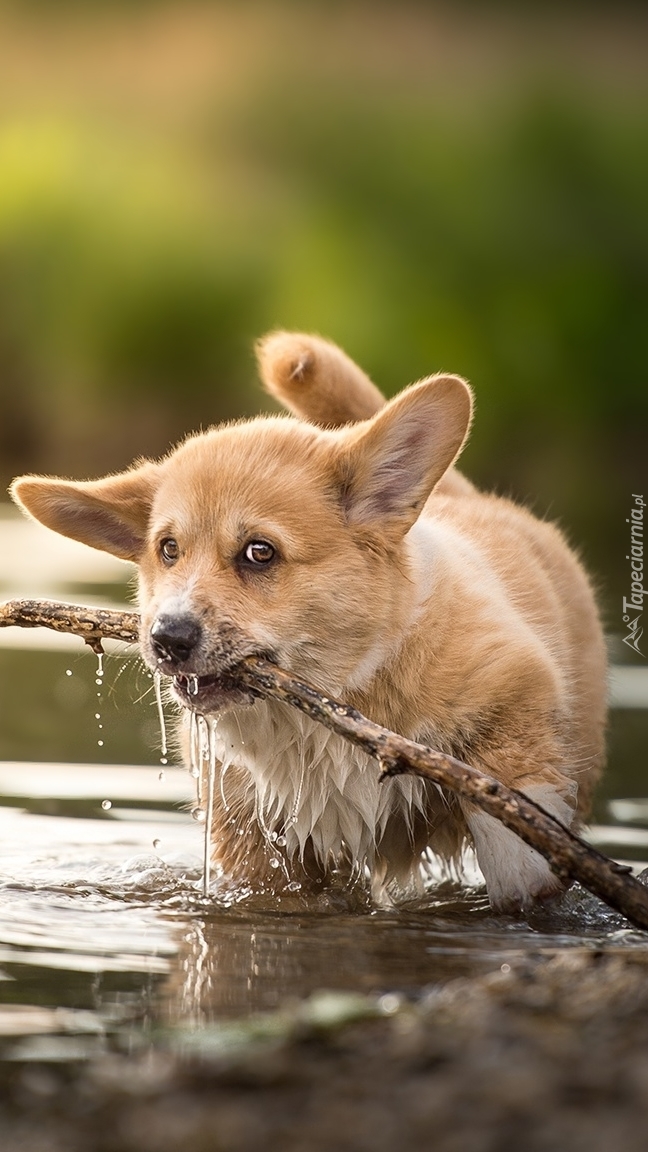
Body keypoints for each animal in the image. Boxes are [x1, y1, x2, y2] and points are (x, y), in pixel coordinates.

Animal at [10, 331, 604, 907]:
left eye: (260, 553)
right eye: (168, 549)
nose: (166, 639)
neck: (334, 702)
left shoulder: (517, 692)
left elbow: (512, 827)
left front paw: (526, 874)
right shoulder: (259, 841)